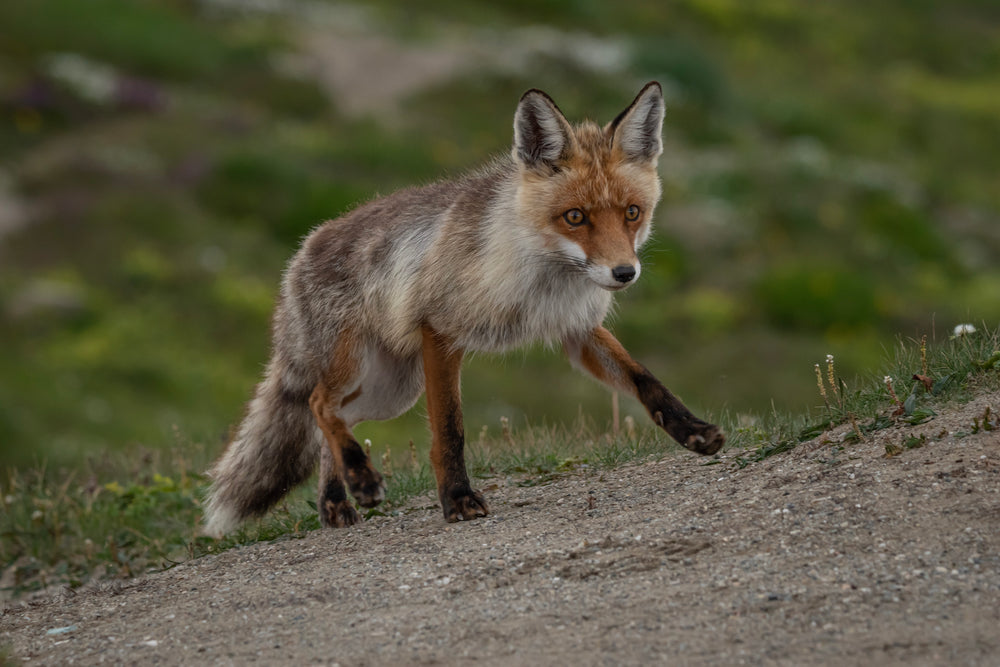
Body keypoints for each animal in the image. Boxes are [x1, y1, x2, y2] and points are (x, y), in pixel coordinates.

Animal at [205, 82, 728, 536]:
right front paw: (457, 498)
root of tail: (300, 251)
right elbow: (449, 430)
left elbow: (646, 380)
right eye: (575, 217)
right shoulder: (440, 331)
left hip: (389, 389)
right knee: (318, 404)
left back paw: (336, 500)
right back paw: (360, 478)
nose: (624, 273)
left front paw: (693, 431)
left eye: (632, 213)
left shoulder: (577, 330)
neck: (542, 277)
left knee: (331, 423)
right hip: (359, 367)